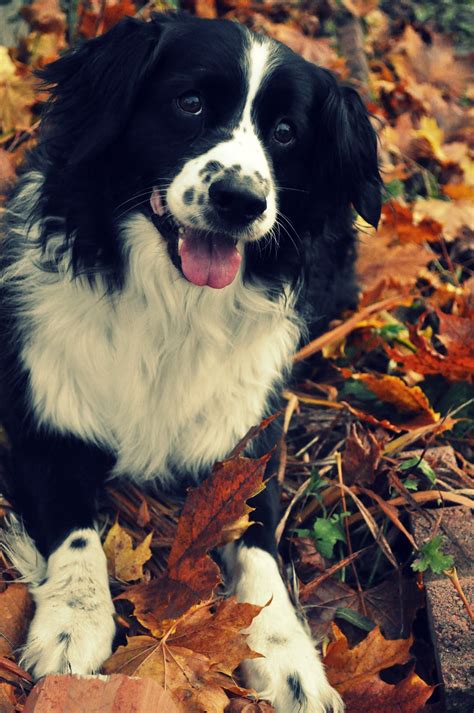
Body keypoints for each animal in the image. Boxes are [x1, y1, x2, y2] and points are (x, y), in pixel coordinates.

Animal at [0, 12, 382, 712]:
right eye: (190, 103)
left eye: (285, 133)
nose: (240, 200)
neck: (174, 309)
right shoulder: (48, 423)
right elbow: (75, 531)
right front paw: (74, 623)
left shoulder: (248, 442)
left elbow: (261, 558)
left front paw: (291, 663)